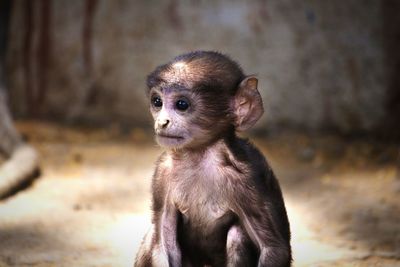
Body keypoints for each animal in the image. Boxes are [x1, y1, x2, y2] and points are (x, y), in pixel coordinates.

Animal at [134, 51, 290, 266]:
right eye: (157, 102)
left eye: (182, 104)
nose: (162, 122)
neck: (199, 159)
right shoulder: (162, 174)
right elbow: (162, 245)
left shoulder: (250, 175)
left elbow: (274, 248)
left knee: (237, 234)